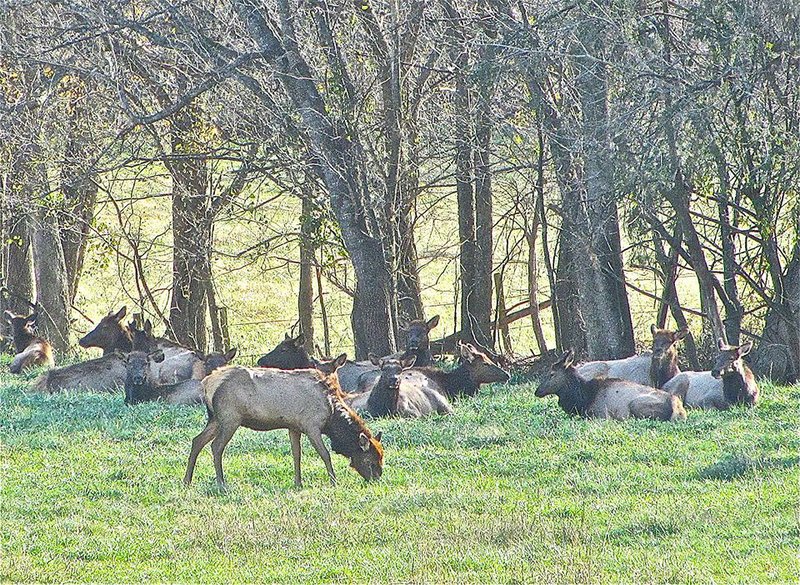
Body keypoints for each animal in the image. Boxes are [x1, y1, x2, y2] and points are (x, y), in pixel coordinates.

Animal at [183, 352, 382, 488]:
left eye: (382, 456)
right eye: (369, 460)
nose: (377, 479)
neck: (331, 416)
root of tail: (207, 383)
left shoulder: (294, 427)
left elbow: (296, 455)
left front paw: (298, 483)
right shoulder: (311, 425)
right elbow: (325, 454)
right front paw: (334, 481)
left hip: (215, 419)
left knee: (197, 440)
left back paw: (187, 480)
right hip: (230, 417)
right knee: (216, 446)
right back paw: (221, 483)